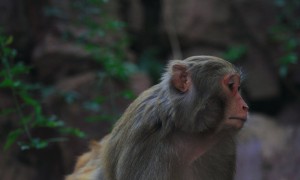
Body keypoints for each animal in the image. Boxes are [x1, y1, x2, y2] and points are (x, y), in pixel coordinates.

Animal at [65, 55, 248, 179]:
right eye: (231, 85)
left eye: (238, 87)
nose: (245, 106)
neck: (189, 132)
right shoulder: (145, 144)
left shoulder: (223, 145)